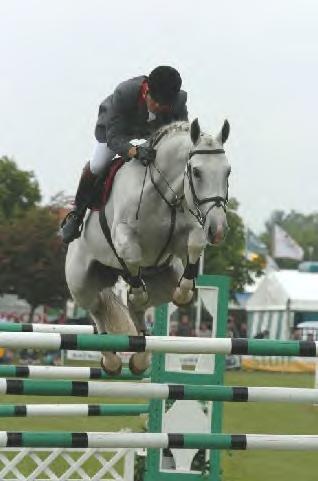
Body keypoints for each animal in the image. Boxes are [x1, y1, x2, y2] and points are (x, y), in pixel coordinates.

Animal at [66, 119, 231, 376]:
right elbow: (132, 256)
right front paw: (138, 291)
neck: (164, 194)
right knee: (97, 309)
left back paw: (140, 358)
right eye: (196, 172)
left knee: (136, 310)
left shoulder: (187, 235)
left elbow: (195, 244)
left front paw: (184, 292)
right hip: (81, 284)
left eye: (228, 172)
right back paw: (111, 360)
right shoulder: (122, 235)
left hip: (163, 282)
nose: (219, 229)